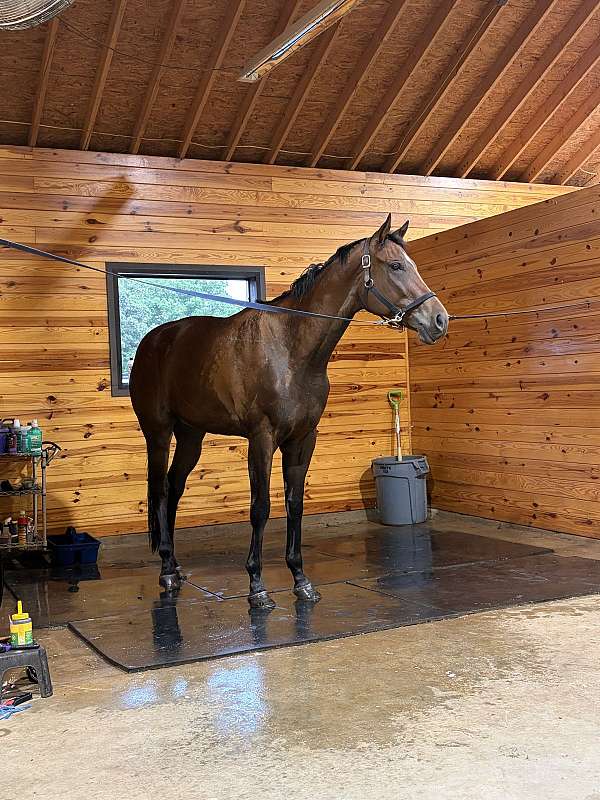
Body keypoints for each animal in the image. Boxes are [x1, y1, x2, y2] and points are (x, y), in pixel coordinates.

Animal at [129, 214, 449, 608]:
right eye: (396, 266)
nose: (439, 320)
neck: (291, 349)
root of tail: (151, 342)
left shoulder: (303, 439)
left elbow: (295, 504)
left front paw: (301, 580)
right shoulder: (262, 438)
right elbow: (261, 506)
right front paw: (257, 586)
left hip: (191, 435)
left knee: (174, 487)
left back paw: (174, 565)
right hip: (158, 433)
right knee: (159, 490)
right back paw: (166, 572)